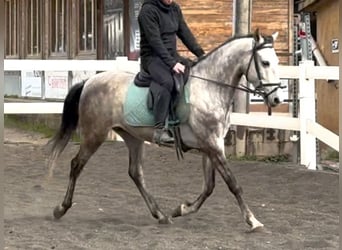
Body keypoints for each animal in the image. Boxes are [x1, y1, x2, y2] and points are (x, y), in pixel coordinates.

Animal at [48, 30, 284, 231]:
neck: (209, 89)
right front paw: (253, 221)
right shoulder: (213, 146)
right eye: (265, 62)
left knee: (136, 173)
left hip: (133, 138)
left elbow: (209, 187)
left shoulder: (210, 147)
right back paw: (61, 208)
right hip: (94, 135)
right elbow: (233, 184)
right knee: (77, 164)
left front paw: (182, 209)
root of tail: (89, 81)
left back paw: (161, 215)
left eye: (277, 62)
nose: (276, 99)